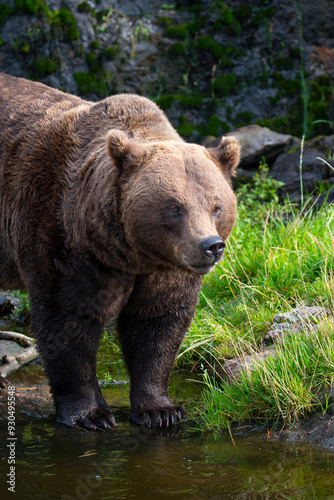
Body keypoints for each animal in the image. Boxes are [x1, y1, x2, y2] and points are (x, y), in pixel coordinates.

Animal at [0, 73, 240, 430]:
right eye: (175, 207)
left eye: (217, 206)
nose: (210, 246)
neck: (128, 252)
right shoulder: (61, 239)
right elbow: (67, 320)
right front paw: (90, 415)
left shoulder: (164, 270)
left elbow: (156, 324)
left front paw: (160, 410)